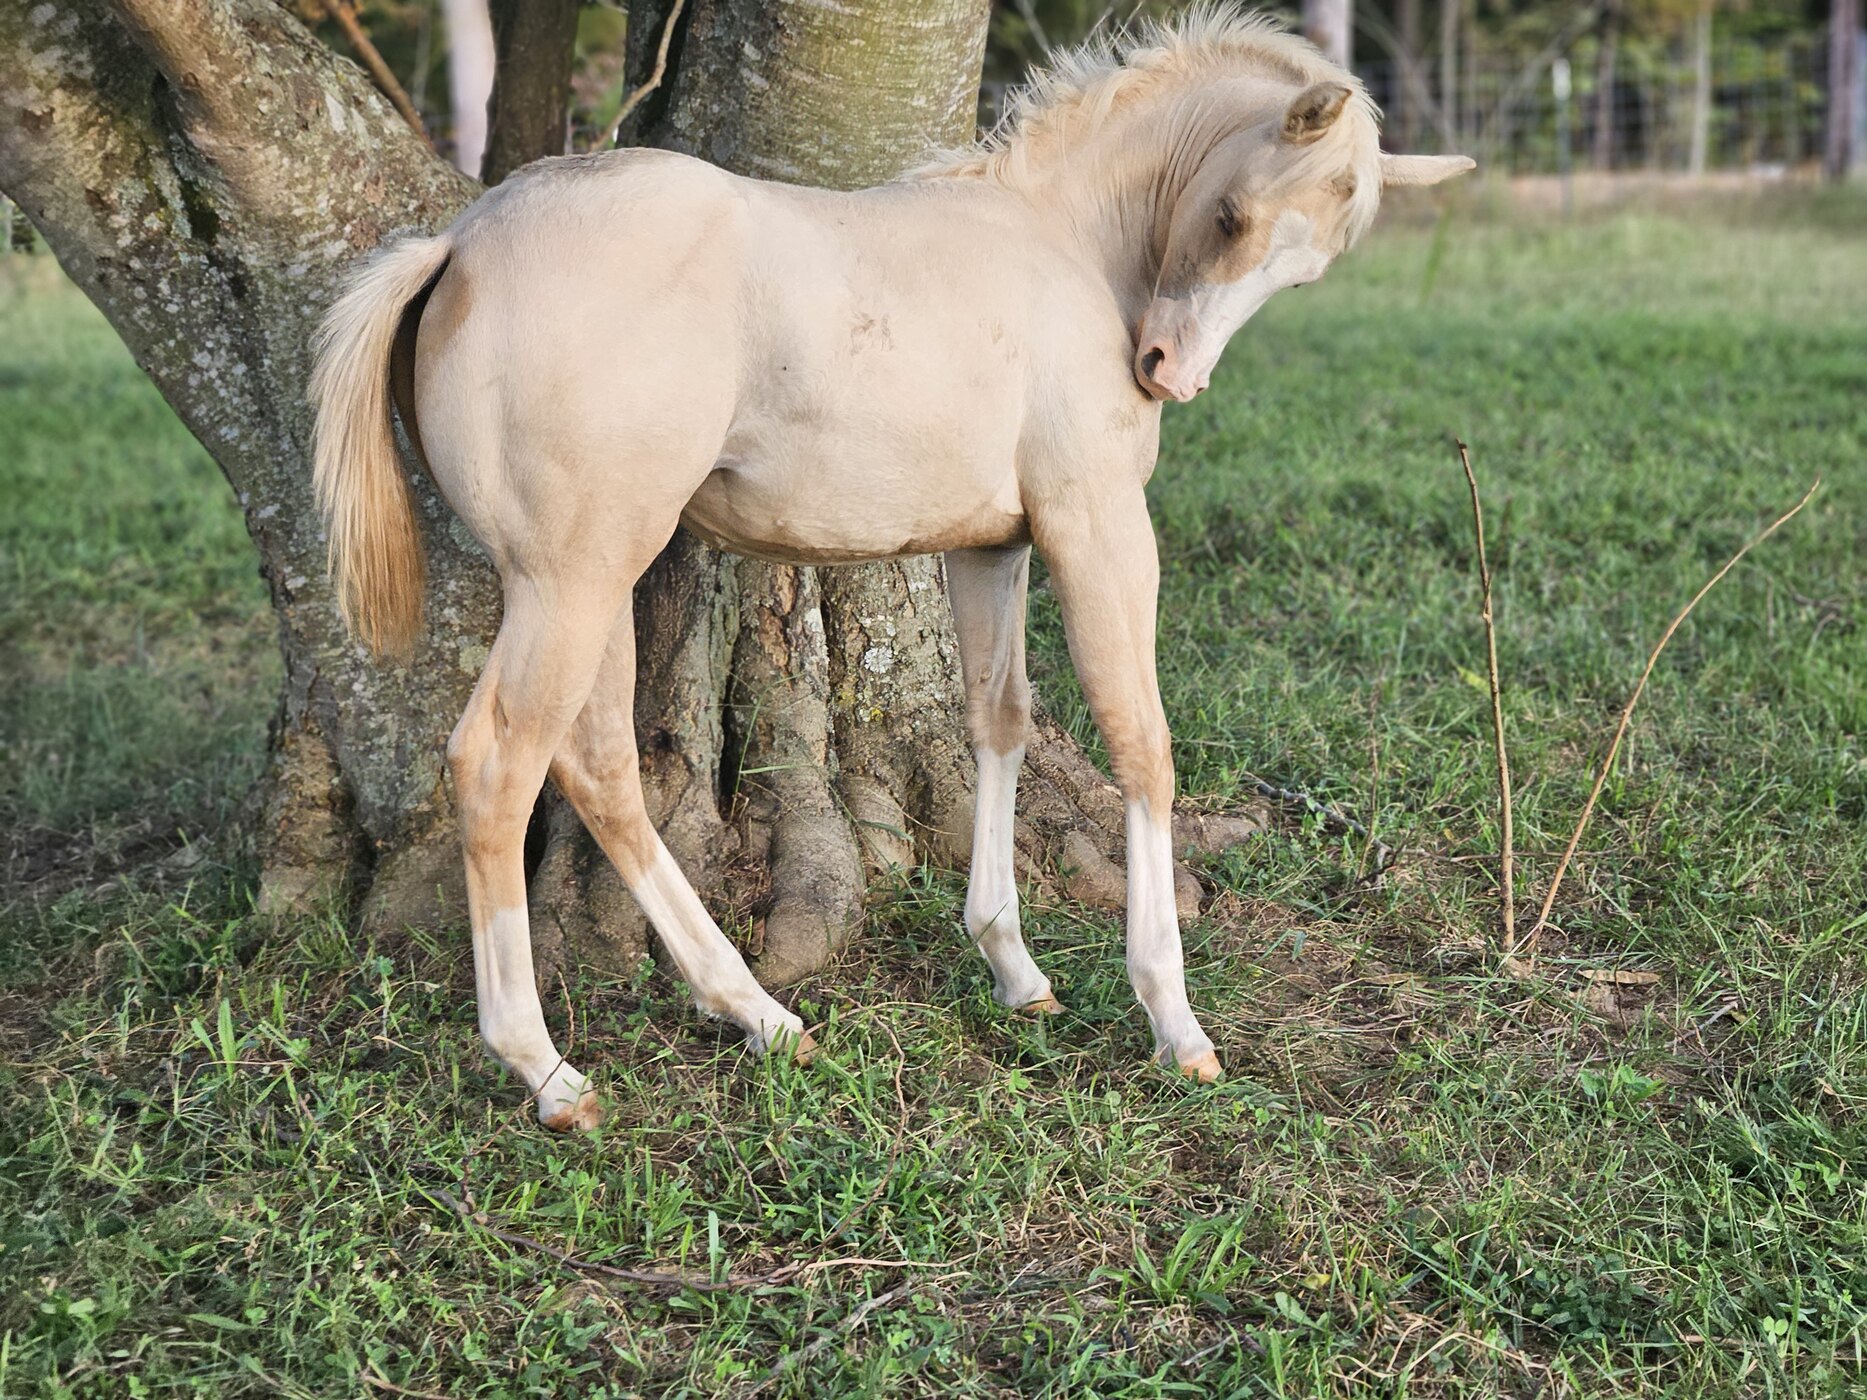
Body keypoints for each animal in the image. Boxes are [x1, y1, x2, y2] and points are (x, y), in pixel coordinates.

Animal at [310, 7, 1472, 1131]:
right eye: (1230, 216)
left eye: (1305, 266)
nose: (1165, 372)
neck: (1064, 241)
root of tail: (458, 244)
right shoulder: (1096, 524)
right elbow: (1141, 741)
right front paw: (1173, 1020)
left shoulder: (991, 544)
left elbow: (997, 719)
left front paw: (1012, 965)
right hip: (573, 583)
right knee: (499, 766)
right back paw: (548, 1070)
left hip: (589, 586)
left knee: (598, 768)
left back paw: (758, 1013)